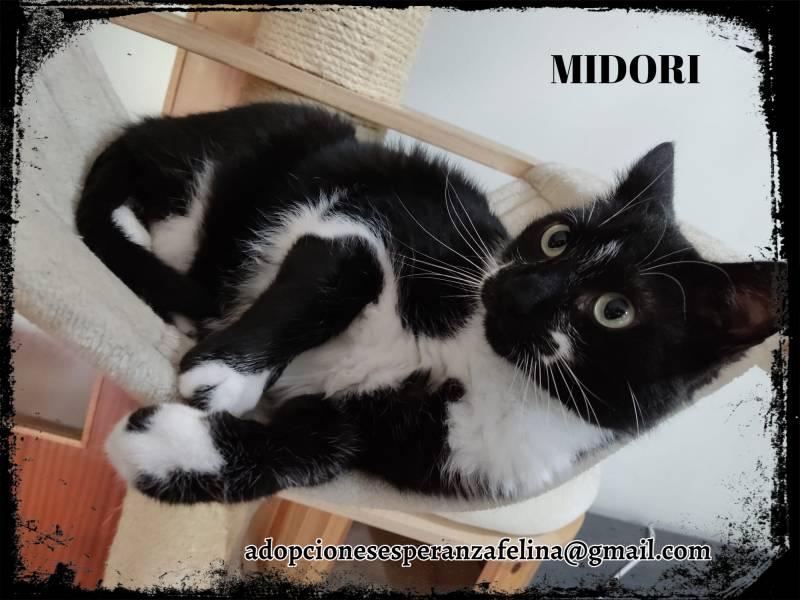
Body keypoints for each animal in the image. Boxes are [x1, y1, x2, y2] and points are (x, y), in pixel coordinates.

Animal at [74, 102, 784, 505]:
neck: (481, 366)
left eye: (614, 310)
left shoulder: (424, 446)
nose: (516, 287)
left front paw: (163, 448)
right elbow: (335, 273)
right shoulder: (373, 225)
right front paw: (225, 376)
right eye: (556, 239)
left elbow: (321, 450)